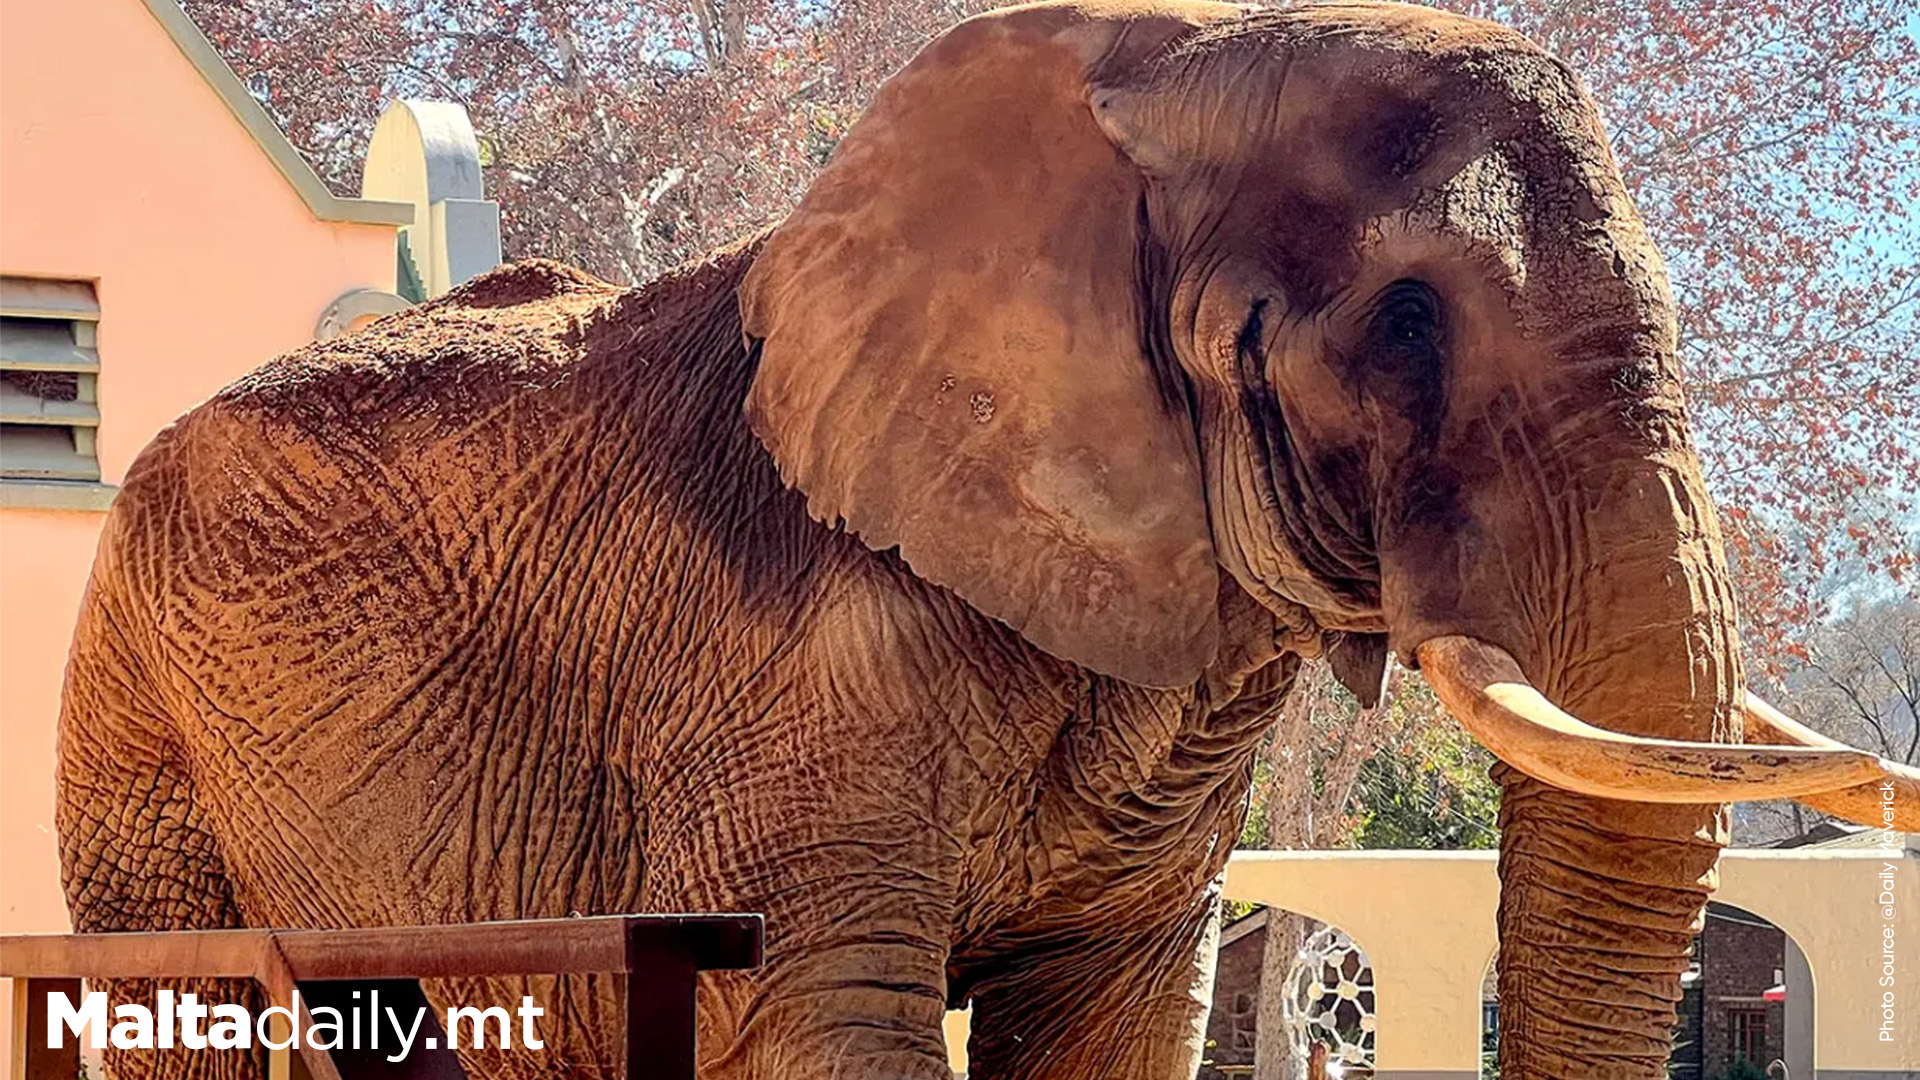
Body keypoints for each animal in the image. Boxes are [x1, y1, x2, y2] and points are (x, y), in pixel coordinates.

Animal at [60, 2, 1920, 1076]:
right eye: (1404, 322)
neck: (1150, 66)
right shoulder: (782, 660)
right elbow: (830, 1013)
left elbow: (1110, 1017)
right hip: (134, 702)